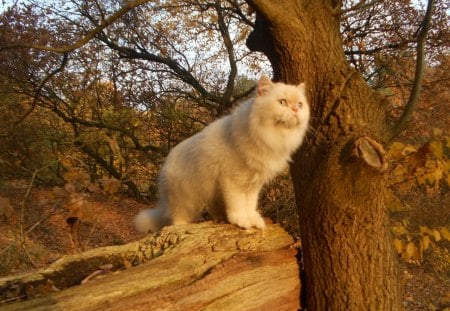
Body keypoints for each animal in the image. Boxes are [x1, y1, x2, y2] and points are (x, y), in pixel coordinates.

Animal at [134, 75, 310, 232]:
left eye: (300, 104)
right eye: (282, 102)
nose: (295, 110)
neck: (272, 138)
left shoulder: (253, 185)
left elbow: (250, 205)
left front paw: (254, 220)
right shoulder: (233, 181)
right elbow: (238, 205)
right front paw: (242, 221)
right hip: (184, 200)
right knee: (177, 219)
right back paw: (181, 227)